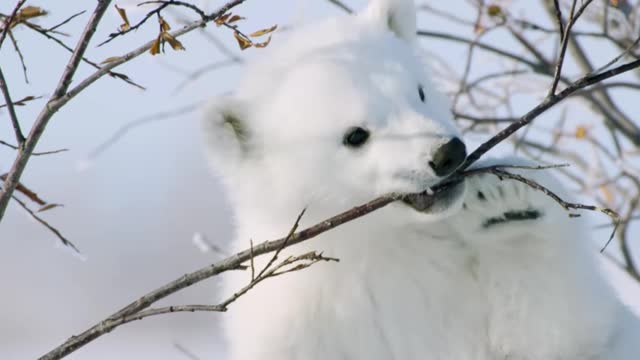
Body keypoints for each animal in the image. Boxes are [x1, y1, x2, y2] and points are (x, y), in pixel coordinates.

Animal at [202, 0, 636, 360]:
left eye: (419, 91)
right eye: (355, 135)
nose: (448, 153)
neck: (381, 247)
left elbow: (562, 332)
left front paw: (506, 205)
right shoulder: (298, 325)